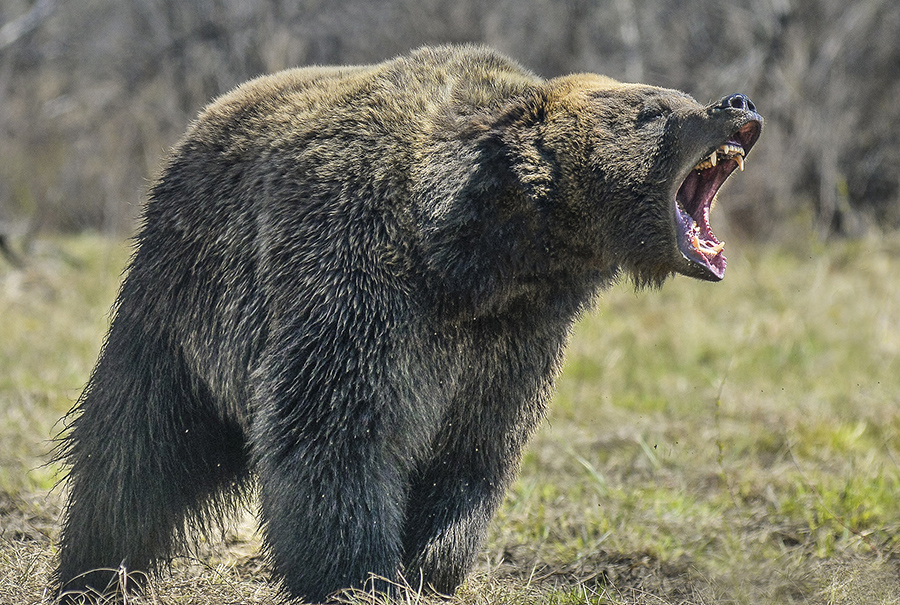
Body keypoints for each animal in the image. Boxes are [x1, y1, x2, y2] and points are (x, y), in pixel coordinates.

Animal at [54, 44, 761, 603]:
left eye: (675, 97)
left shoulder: (512, 346)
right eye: (653, 110)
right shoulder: (360, 284)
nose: (737, 102)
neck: (482, 260)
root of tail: (206, 116)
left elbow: (471, 454)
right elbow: (337, 434)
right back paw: (93, 571)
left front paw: (432, 565)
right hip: (184, 303)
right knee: (135, 445)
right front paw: (360, 575)